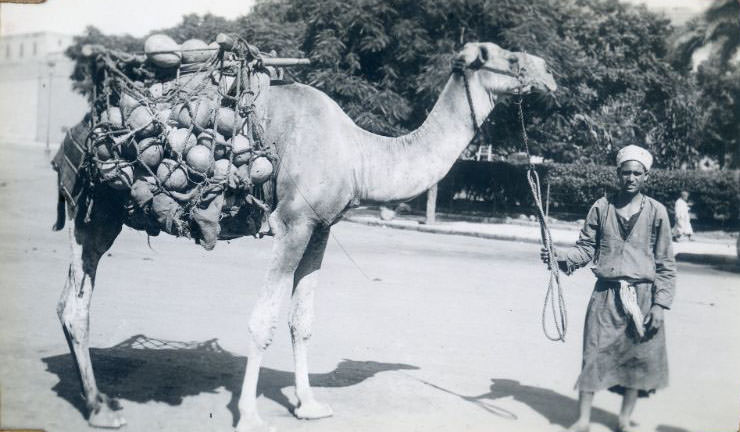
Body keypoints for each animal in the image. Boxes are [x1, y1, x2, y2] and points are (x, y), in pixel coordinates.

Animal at [56, 42, 556, 430]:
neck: (359, 154)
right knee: (77, 303)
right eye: (511, 58)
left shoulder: (321, 229)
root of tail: (70, 136)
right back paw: (101, 409)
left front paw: (309, 405)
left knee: (68, 301)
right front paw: (250, 415)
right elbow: (263, 321)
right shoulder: (292, 224)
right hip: (97, 210)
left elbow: (303, 320)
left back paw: (95, 399)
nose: (550, 74)